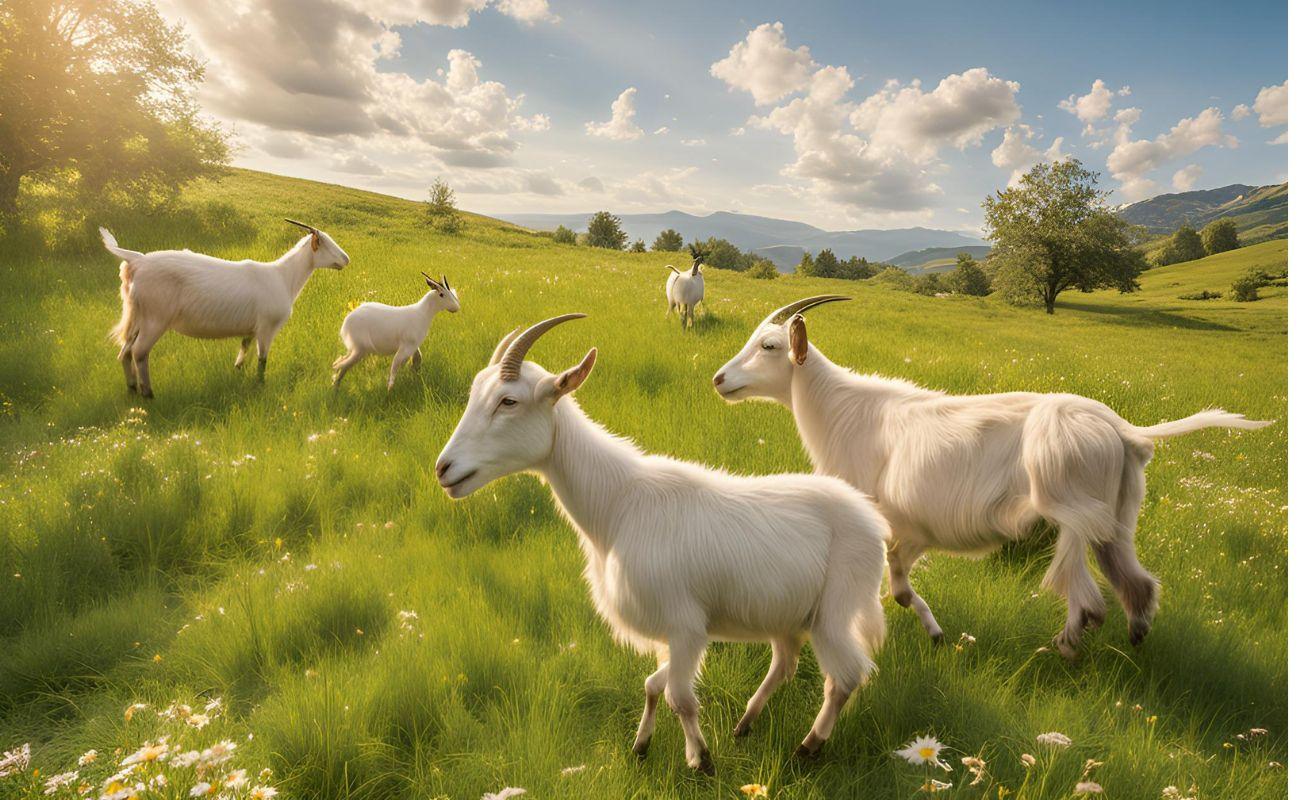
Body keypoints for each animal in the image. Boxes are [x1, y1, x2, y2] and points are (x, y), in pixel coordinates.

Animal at [100, 220, 348, 398]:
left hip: (137, 315)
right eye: (325, 243)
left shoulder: (252, 329)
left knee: (125, 351)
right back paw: (148, 394)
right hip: (155, 318)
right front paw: (260, 386)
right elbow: (262, 359)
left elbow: (244, 351)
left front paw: (238, 374)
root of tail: (137, 260)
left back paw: (132, 389)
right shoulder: (267, 328)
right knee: (139, 352)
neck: (283, 277)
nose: (346, 259)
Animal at [436, 315, 888, 771]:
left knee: (846, 677)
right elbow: (654, 684)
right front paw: (641, 746)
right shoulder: (668, 635)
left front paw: (701, 761)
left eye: (508, 401)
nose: (444, 469)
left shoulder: (686, 626)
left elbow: (680, 697)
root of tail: (874, 522)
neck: (618, 504)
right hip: (786, 615)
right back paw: (745, 724)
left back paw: (808, 745)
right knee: (785, 664)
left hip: (834, 610)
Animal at [713, 296, 1271, 659]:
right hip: (1119, 516)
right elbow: (899, 584)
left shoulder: (889, 524)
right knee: (1138, 585)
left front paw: (929, 632)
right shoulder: (911, 530)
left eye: (769, 346)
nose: (719, 379)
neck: (844, 411)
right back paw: (1132, 642)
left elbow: (895, 586)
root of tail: (1122, 429)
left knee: (1088, 600)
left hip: (1071, 508)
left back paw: (1061, 650)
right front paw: (935, 634)